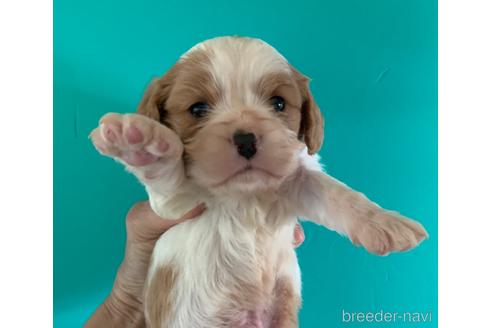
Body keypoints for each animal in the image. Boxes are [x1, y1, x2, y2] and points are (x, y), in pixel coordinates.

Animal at [90, 36, 428, 328]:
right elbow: (167, 172)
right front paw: (142, 142)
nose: (246, 139)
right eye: (197, 109)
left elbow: (336, 193)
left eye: (278, 104)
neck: (245, 196)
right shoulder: (177, 203)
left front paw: (387, 223)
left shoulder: (297, 180)